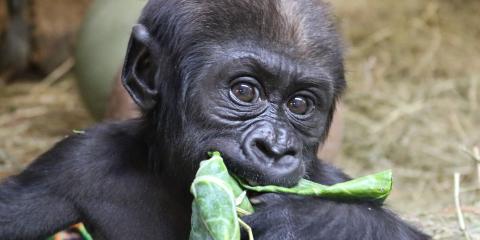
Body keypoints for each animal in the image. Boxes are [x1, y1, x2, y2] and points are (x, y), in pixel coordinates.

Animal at [0, 0, 428, 239]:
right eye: (245, 92)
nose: (275, 148)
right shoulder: (71, 164)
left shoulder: (326, 177)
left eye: (300, 104)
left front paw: (311, 219)